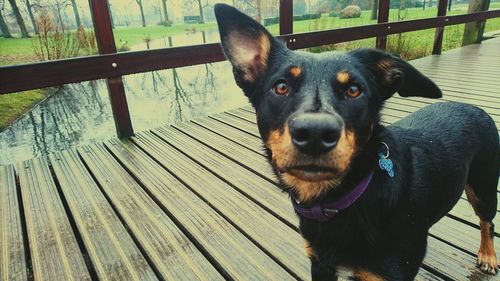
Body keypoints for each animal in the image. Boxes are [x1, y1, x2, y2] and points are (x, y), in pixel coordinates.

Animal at [213, 3, 498, 278]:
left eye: (353, 90)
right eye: (281, 87)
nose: (315, 134)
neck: (336, 203)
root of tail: (474, 107)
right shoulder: (320, 264)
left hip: (483, 187)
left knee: (487, 222)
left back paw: (487, 255)